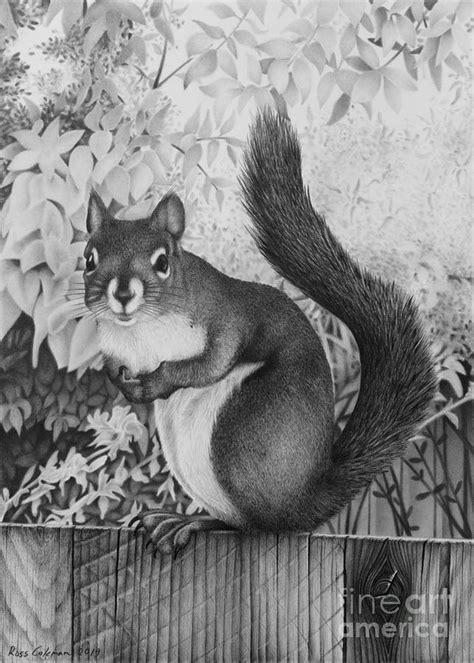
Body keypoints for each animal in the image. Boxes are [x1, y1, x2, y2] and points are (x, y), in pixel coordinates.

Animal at [84, 109, 437, 553]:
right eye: (89, 259)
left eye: (162, 262)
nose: (123, 294)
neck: (142, 333)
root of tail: (305, 499)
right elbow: (113, 366)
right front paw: (121, 381)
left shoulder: (227, 317)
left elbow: (210, 363)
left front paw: (154, 383)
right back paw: (180, 518)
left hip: (243, 439)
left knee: (258, 525)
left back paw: (195, 523)